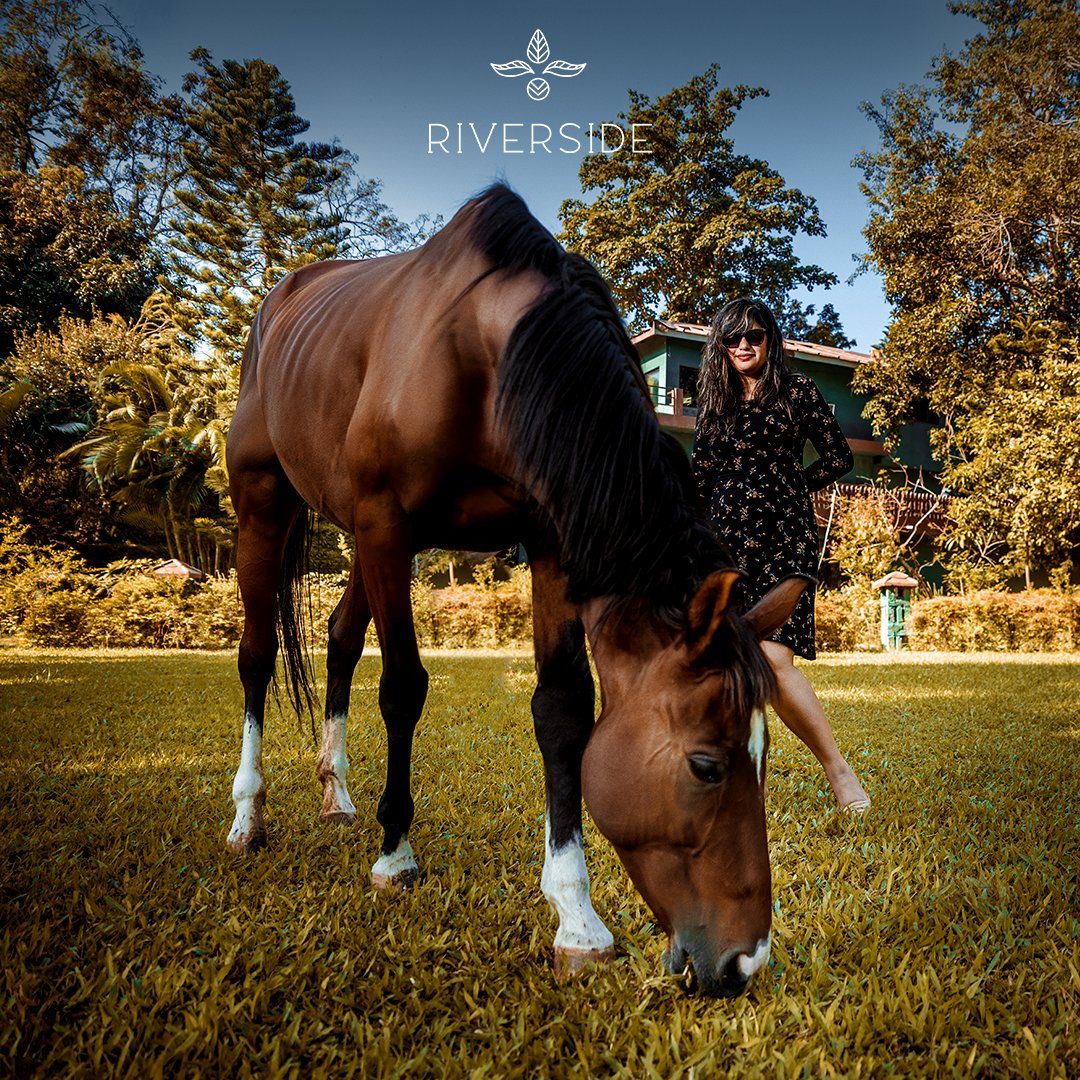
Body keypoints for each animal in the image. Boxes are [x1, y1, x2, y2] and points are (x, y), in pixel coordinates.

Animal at [224, 184, 806, 997]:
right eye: (706, 765)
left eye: (764, 757)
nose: (746, 960)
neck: (485, 349)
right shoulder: (386, 521)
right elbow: (403, 688)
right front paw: (395, 853)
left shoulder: (552, 536)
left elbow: (562, 711)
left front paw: (577, 916)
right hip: (270, 504)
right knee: (255, 655)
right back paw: (247, 815)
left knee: (340, 640)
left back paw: (335, 794)